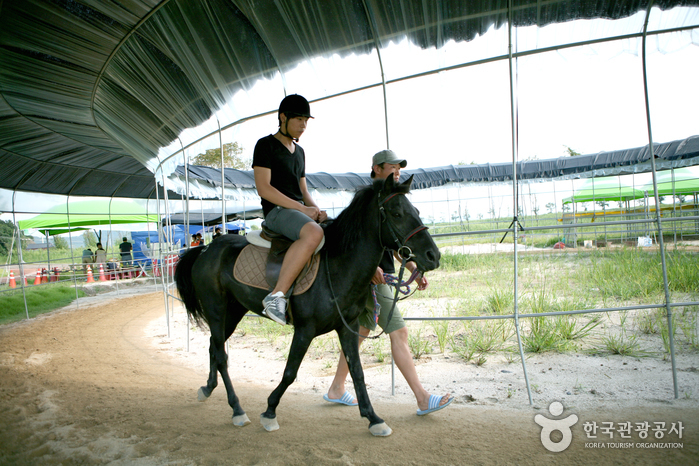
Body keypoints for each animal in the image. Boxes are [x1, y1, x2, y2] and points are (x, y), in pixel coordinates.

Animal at [175, 175, 438, 436]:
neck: (336, 266)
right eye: (397, 213)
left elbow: (357, 371)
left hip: (234, 311)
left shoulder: (348, 327)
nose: (433, 255)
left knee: (213, 346)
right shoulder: (304, 330)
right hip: (216, 310)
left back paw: (208, 388)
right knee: (221, 355)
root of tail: (206, 249)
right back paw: (237, 409)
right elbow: (290, 372)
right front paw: (270, 411)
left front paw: (373, 418)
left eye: (415, 211)